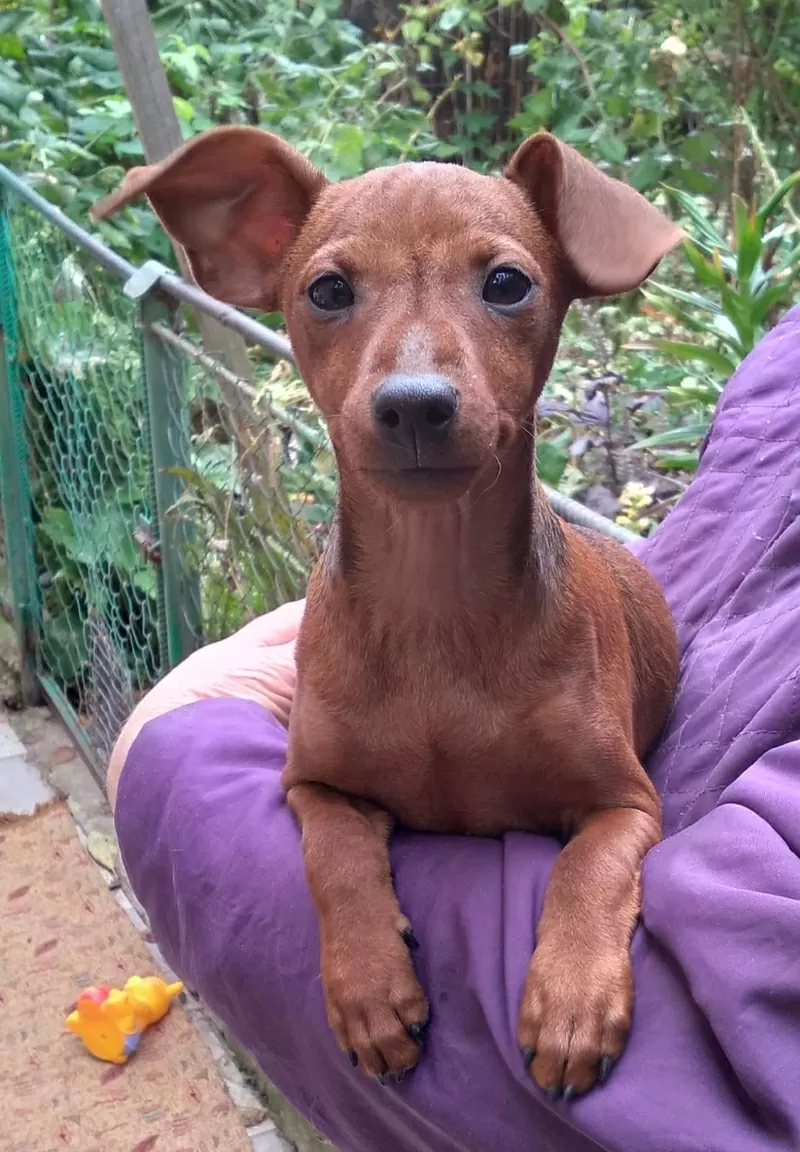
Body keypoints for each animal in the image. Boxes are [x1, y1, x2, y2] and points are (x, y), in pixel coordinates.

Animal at [93, 123, 682, 1096]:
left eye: (507, 283)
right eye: (328, 291)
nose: (414, 405)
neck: (432, 601)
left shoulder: (627, 804)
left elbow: (586, 868)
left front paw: (571, 1000)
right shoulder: (311, 784)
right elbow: (334, 854)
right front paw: (371, 988)